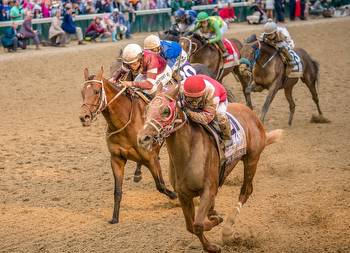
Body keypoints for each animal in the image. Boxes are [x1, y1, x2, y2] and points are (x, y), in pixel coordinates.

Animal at [80, 67, 178, 223]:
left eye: (96, 91)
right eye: (82, 92)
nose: (84, 117)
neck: (125, 122)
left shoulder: (151, 158)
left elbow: (160, 185)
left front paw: (176, 196)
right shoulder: (117, 159)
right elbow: (117, 191)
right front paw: (114, 218)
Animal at [137, 85, 282, 253]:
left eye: (166, 111)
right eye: (147, 109)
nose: (143, 138)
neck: (187, 156)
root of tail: (251, 113)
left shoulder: (208, 190)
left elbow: (198, 225)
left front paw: (216, 226)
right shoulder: (183, 195)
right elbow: (191, 226)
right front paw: (211, 243)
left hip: (252, 159)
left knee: (246, 191)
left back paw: (227, 229)